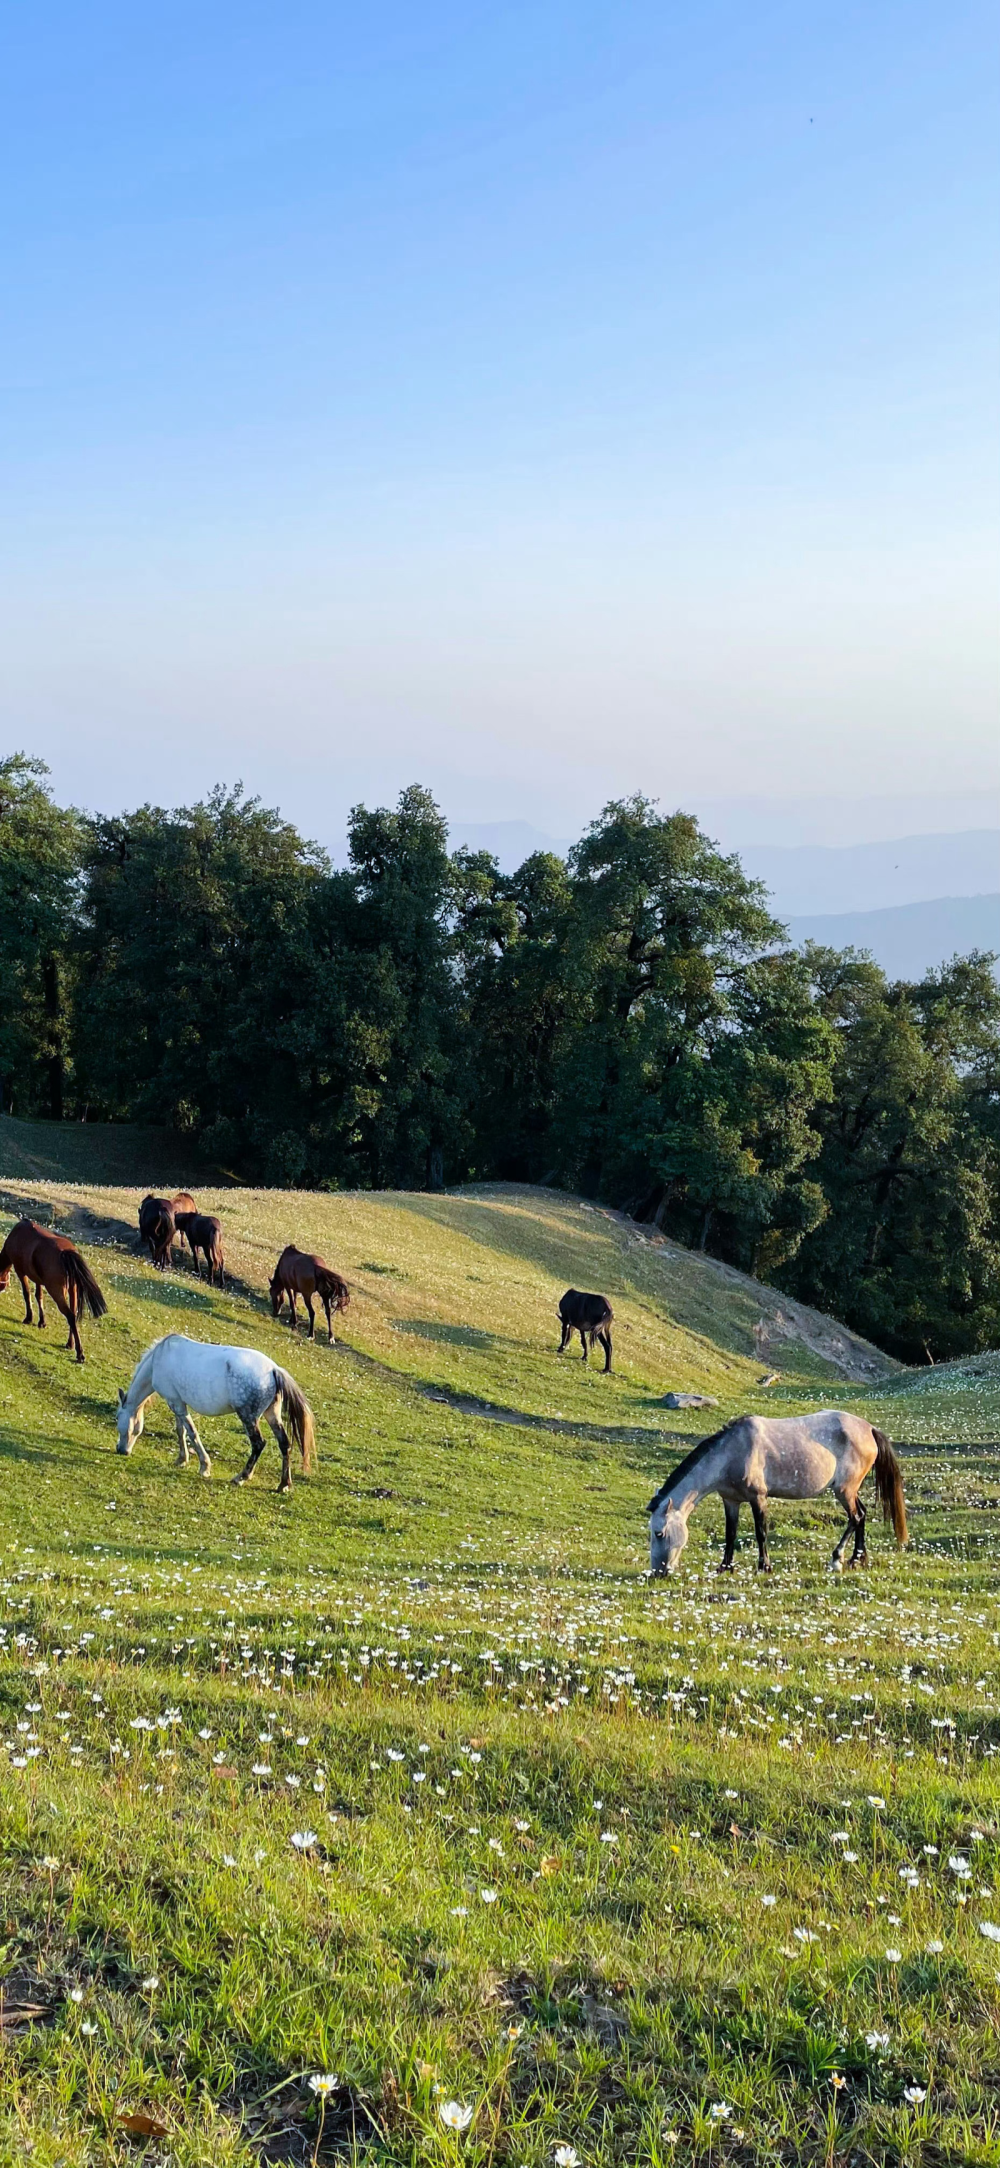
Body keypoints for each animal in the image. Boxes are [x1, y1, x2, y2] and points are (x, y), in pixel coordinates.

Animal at [0, 1214, 107, 1361]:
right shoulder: (38, 1279)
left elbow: (27, 1293)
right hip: (72, 1290)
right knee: (73, 1314)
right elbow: (39, 1296)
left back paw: (79, 1353)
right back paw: (70, 1344)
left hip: (56, 1291)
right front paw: (42, 1322)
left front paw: (29, 1318)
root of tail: (66, 1253)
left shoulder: (21, 1271)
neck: (17, 1234)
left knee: (70, 1315)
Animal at [115, 1335, 316, 1491]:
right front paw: (181, 1459)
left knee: (259, 1444)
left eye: (117, 1418)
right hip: (272, 1414)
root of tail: (274, 1369)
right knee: (285, 1444)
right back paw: (283, 1484)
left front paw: (204, 1467)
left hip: (248, 1417)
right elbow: (181, 1431)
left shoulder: (175, 1403)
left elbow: (192, 1433)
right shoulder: (178, 1402)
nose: (121, 1450)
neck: (159, 1359)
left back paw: (241, 1477)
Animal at [642, 1404, 906, 1578]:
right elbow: (730, 1533)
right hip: (849, 1491)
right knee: (861, 1515)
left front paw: (764, 1567)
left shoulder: (758, 1498)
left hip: (844, 1490)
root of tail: (869, 1429)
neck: (732, 1451)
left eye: (659, 1533)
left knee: (856, 1517)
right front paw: (725, 1567)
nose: (658, 1572)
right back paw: (857, 1558)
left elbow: (761, 1532)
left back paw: (837, 1560)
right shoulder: (731, 1500)